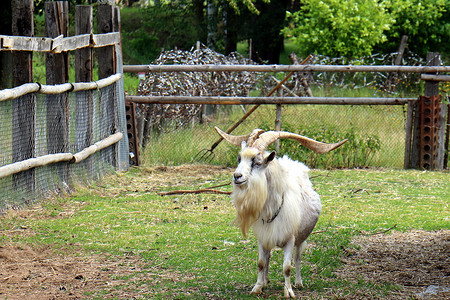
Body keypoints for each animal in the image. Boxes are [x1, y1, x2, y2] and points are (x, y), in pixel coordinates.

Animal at [216, 126, 346, 298]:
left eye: (257, 162)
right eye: (239, 159)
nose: (237, 176)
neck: (273, 208)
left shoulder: (290, 238)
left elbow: (287, 267)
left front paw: (288, 291)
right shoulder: (263, 237)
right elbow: (261, 263)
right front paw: (257, 287)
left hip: (301, 238)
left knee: (297, 258)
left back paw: (298, 282)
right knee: (268, 257)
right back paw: (266, 281)